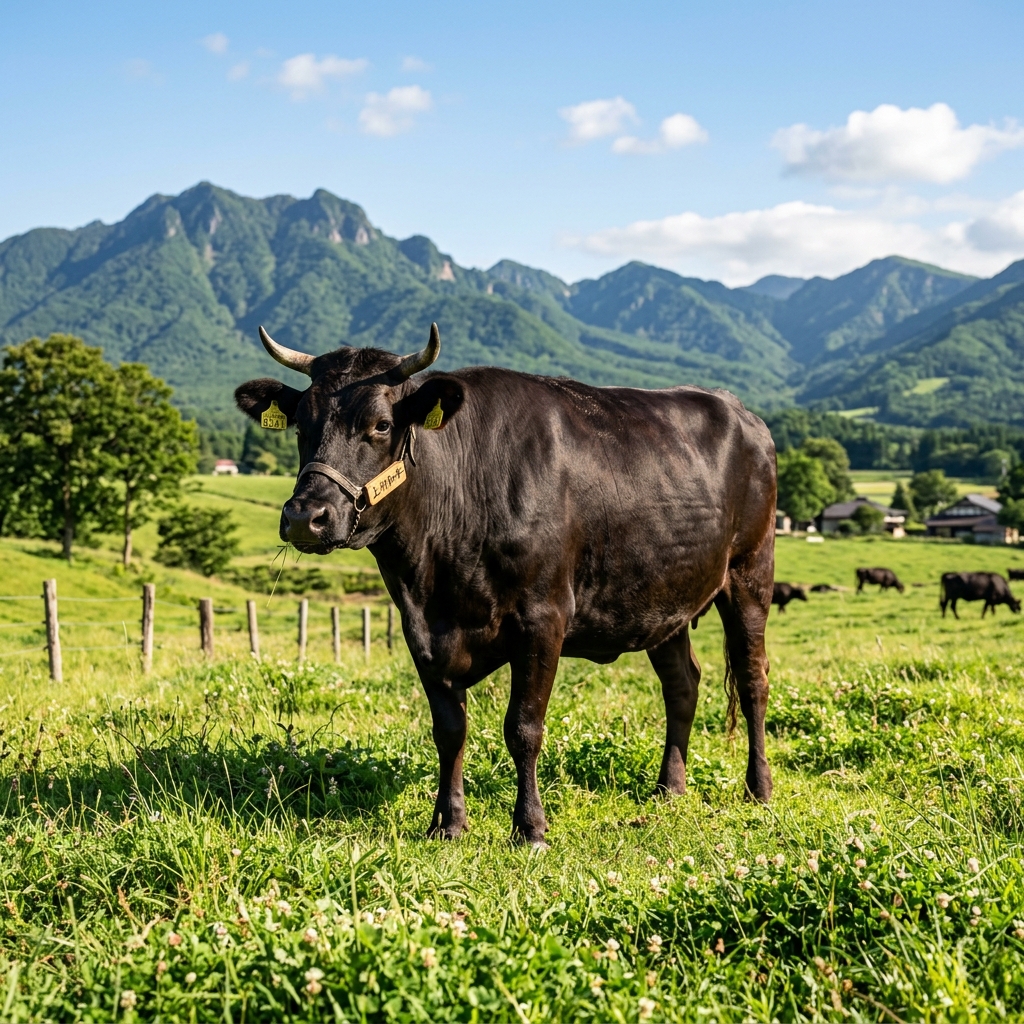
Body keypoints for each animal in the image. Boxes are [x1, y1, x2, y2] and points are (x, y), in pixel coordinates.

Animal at [235, 324, 777, 845]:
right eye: (301, 425)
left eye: (381, 424)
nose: (306, 516)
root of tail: (742, 411)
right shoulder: (421, 630)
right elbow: (449, 730)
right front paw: (447, 824)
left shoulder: (543, 618)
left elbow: (523, 727)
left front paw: (530, 827)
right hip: (662, 601)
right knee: (682, 684)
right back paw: (669, 787)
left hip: (750, 575)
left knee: (753, 681)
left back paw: (759, 788)